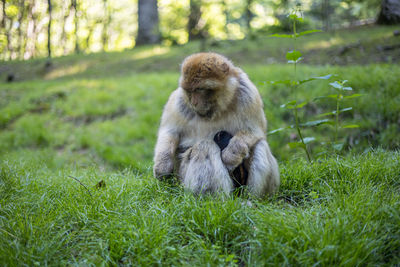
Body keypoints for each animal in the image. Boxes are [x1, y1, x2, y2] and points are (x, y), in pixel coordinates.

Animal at [152, 52, 280, 199]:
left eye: (199, 89)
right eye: (189, 91)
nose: (194, 102)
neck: (218, 109)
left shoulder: (248, 94)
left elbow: (254, 131)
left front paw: (230, 156)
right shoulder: (179, 101)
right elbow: (169, 132)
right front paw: (162, 165)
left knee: (260, 144)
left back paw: (253, 199)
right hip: (182, 179)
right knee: (204, 147)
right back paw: (215, 200)